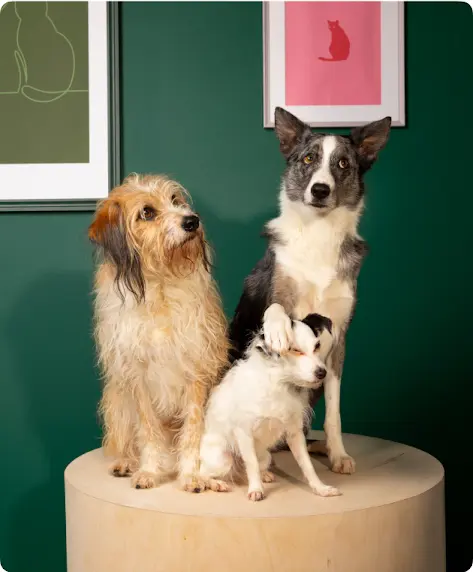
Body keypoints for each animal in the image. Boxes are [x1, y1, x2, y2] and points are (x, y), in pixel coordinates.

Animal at [199, 308, 340, 500]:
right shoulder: (244, 432)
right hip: (223, 458)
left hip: (265, 457)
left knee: (250, 470)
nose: (322, 373)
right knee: (204, 474)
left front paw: (320, 488)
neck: (280, 383)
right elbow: (251, 464)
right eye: (295, 350)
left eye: (317, 346)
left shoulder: (295, 433)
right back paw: (217, 484)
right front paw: (256, 490)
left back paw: (264, 475)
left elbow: (307, 465)